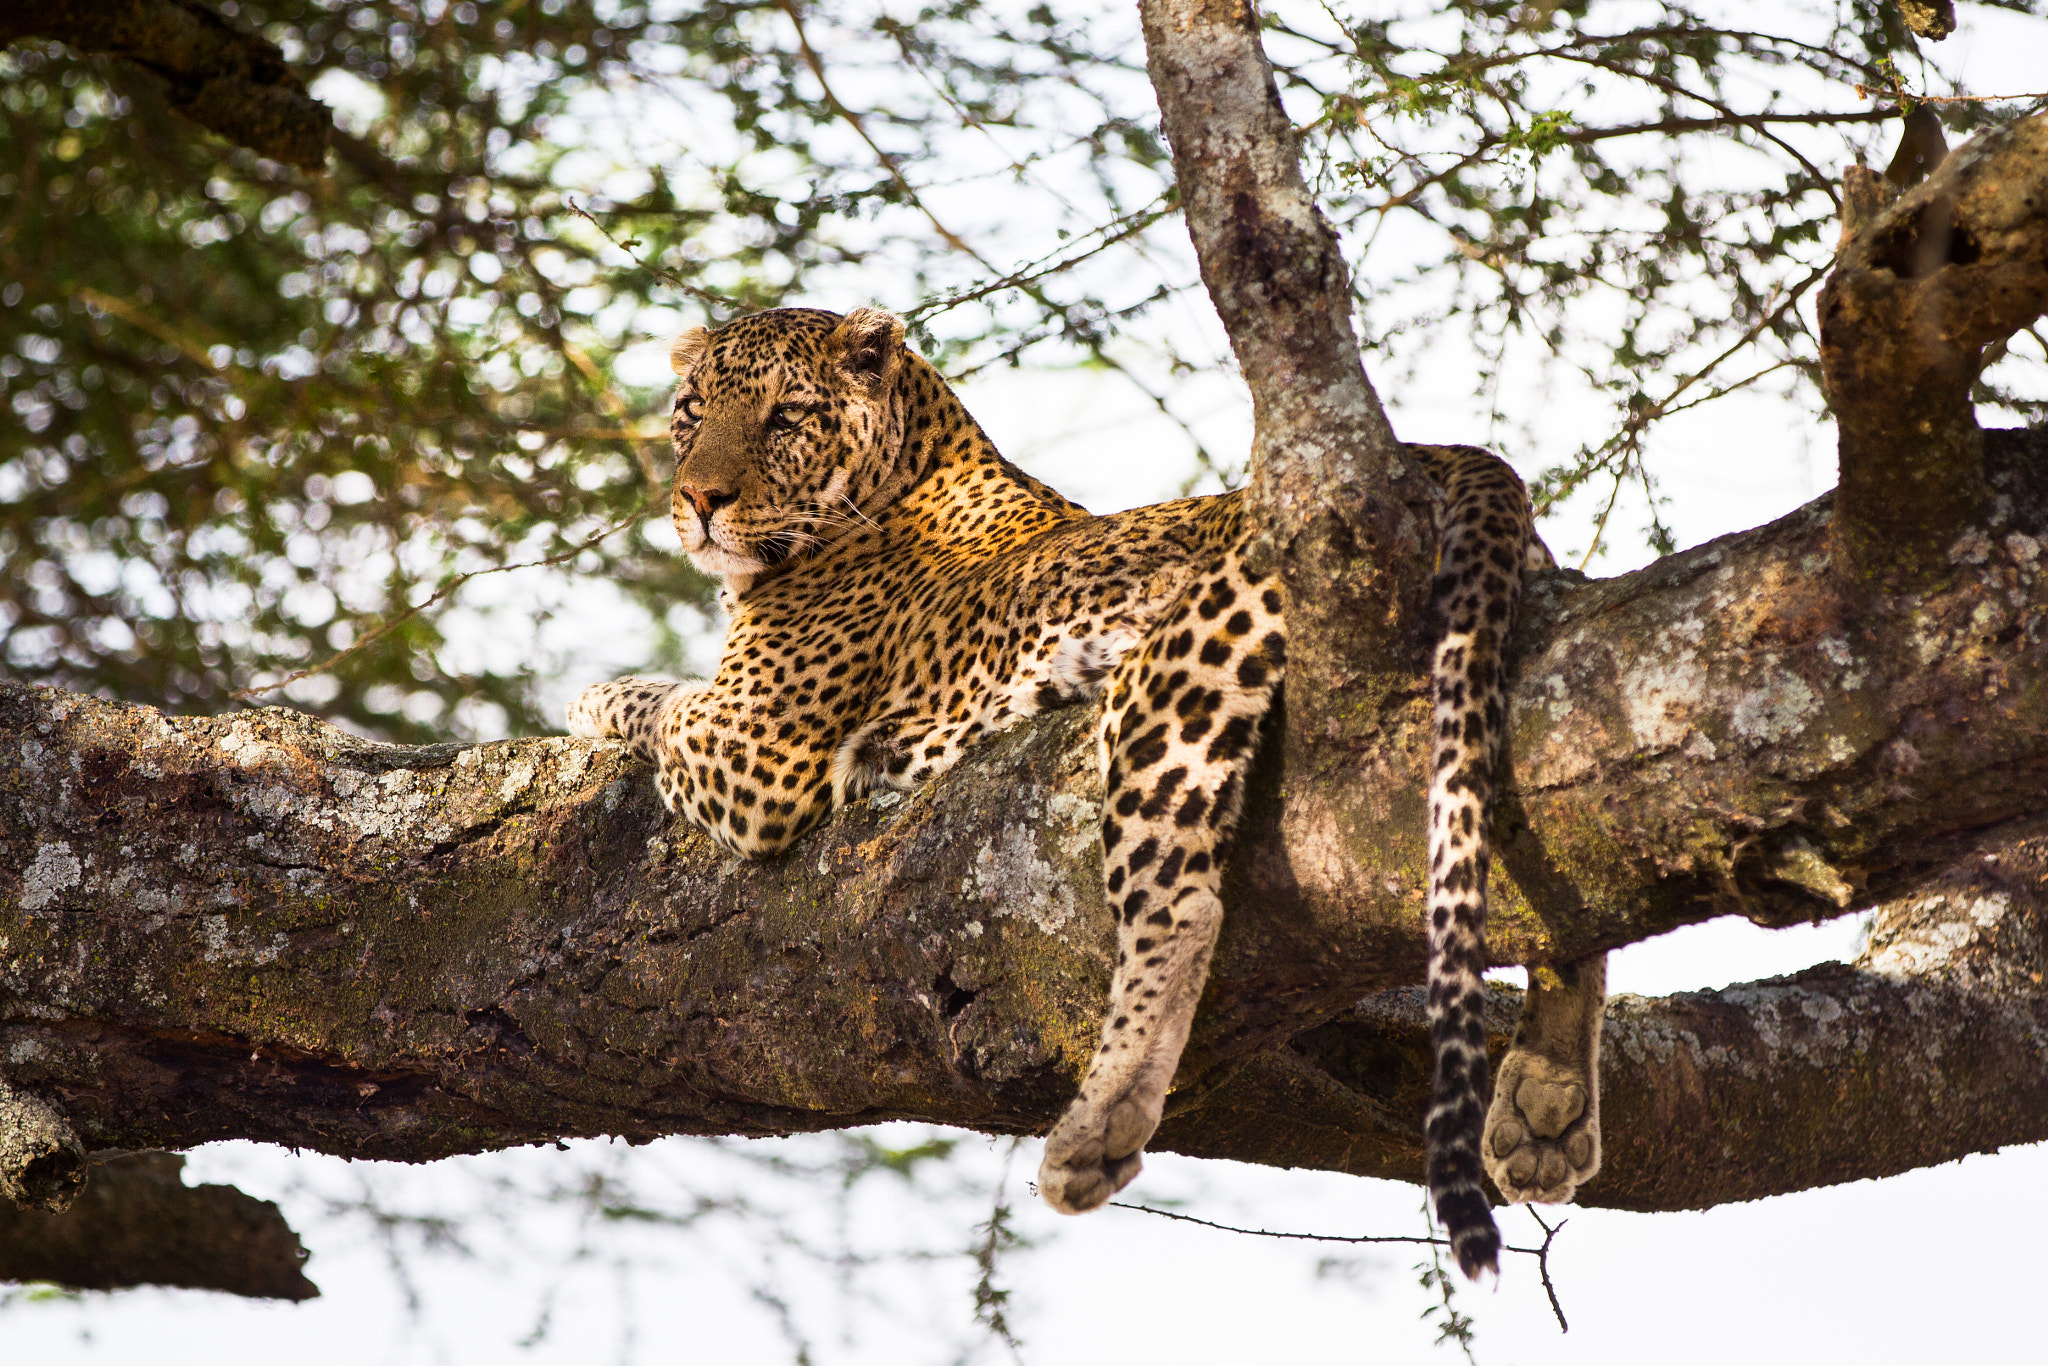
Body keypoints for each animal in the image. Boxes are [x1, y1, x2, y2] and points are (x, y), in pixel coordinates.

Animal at [566, 305, 1606, 1277]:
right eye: (691, 412)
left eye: (786, 416)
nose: (698, 500)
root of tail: (1447, 457)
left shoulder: (757, 751)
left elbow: (647, 696)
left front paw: (587, 702)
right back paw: (1544, 1109)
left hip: (1173, 683)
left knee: (1180, 906)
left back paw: (1095, 1131)